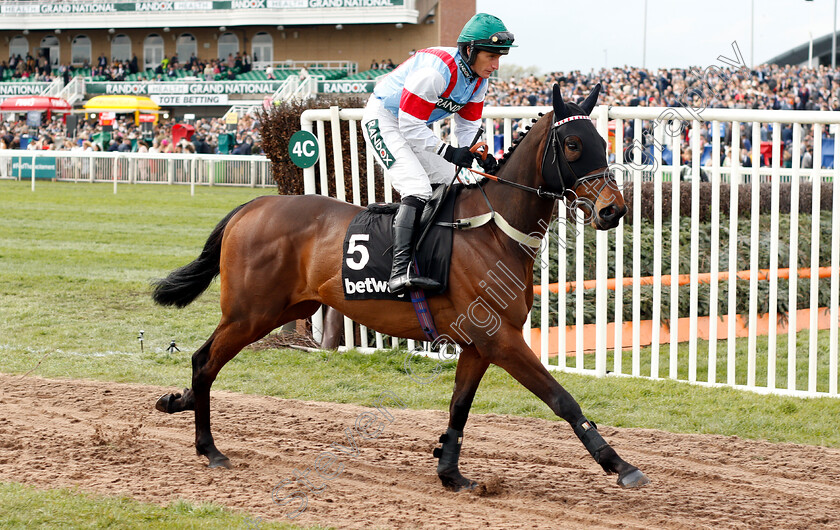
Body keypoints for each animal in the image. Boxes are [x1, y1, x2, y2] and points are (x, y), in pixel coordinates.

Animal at [151, 83, 648, 490]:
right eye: (572, 144)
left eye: (603, 143)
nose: (613, 210)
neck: (493, 228)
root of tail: (252, 205)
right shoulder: (500, 338)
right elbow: (562, 398)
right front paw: (619, 465)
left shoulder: (478, 344)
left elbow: (459, 406)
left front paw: (451, 473)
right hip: (250, 313)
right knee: (204, 361)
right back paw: (209, 448)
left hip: (281, 311)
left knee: (204, 362)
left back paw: (179, 402)